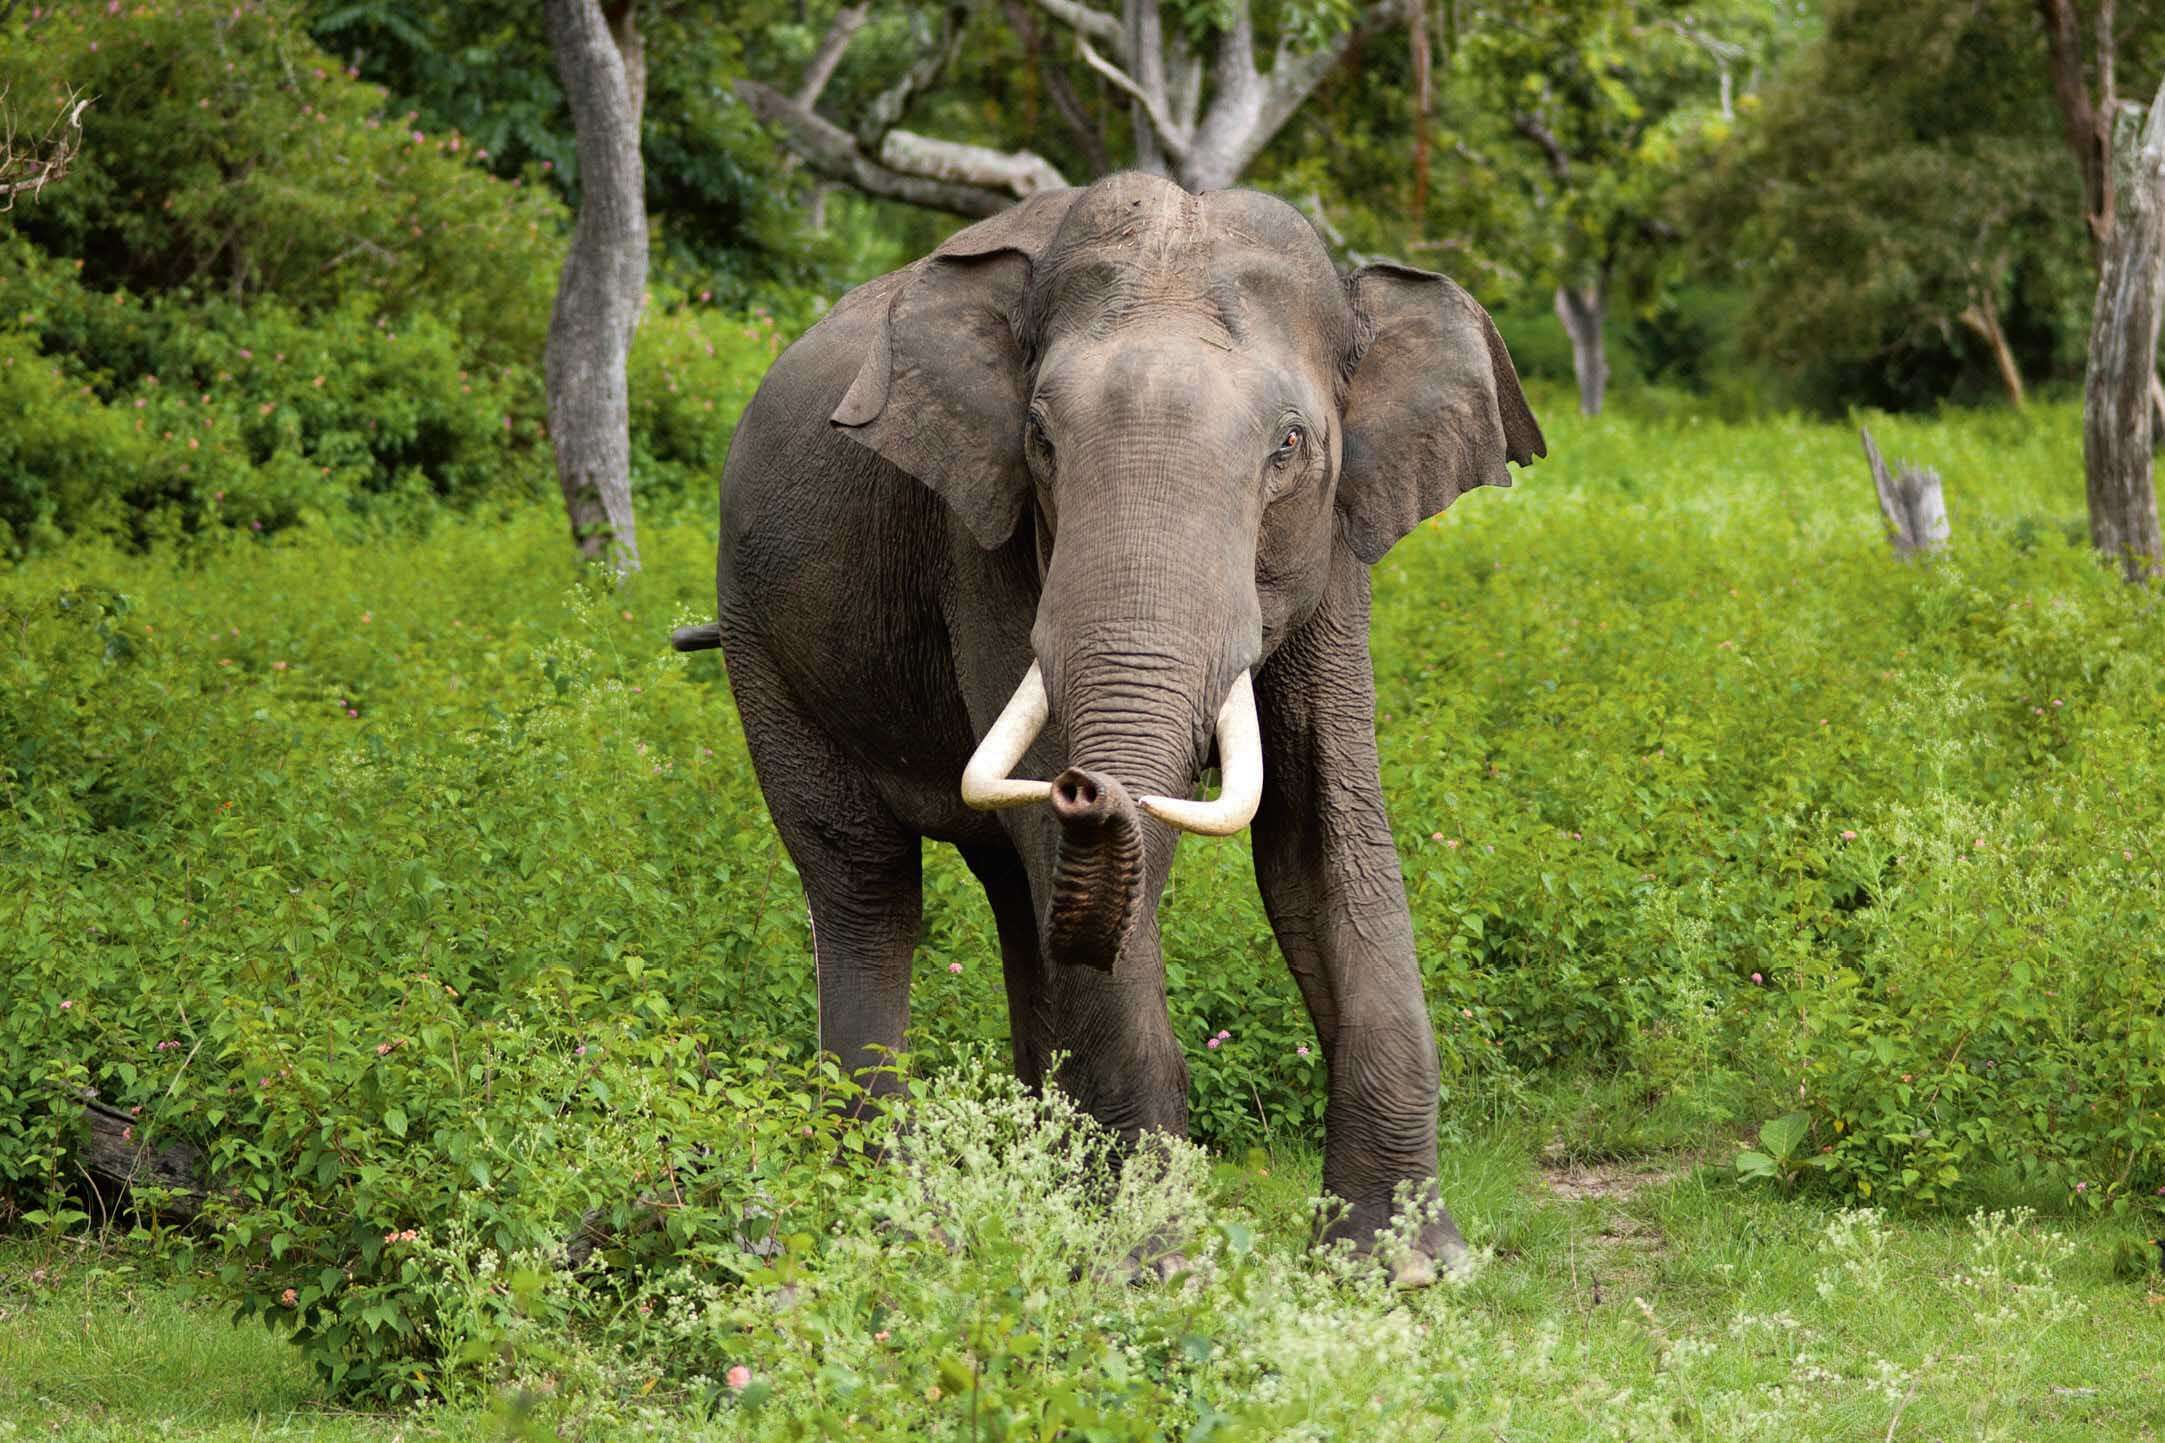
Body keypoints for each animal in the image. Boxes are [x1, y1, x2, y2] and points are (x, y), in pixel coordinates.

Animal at [673, 171, 1542, 1280]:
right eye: (1042, 441)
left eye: (1288, 445)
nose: (1091, 787)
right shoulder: (984, 541)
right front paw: (1152, 1268)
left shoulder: (1337, 545)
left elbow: (1320, 835)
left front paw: (1404, 1267)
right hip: (759, 641)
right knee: (865, 882)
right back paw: (892, 1214)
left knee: (1013, 894)